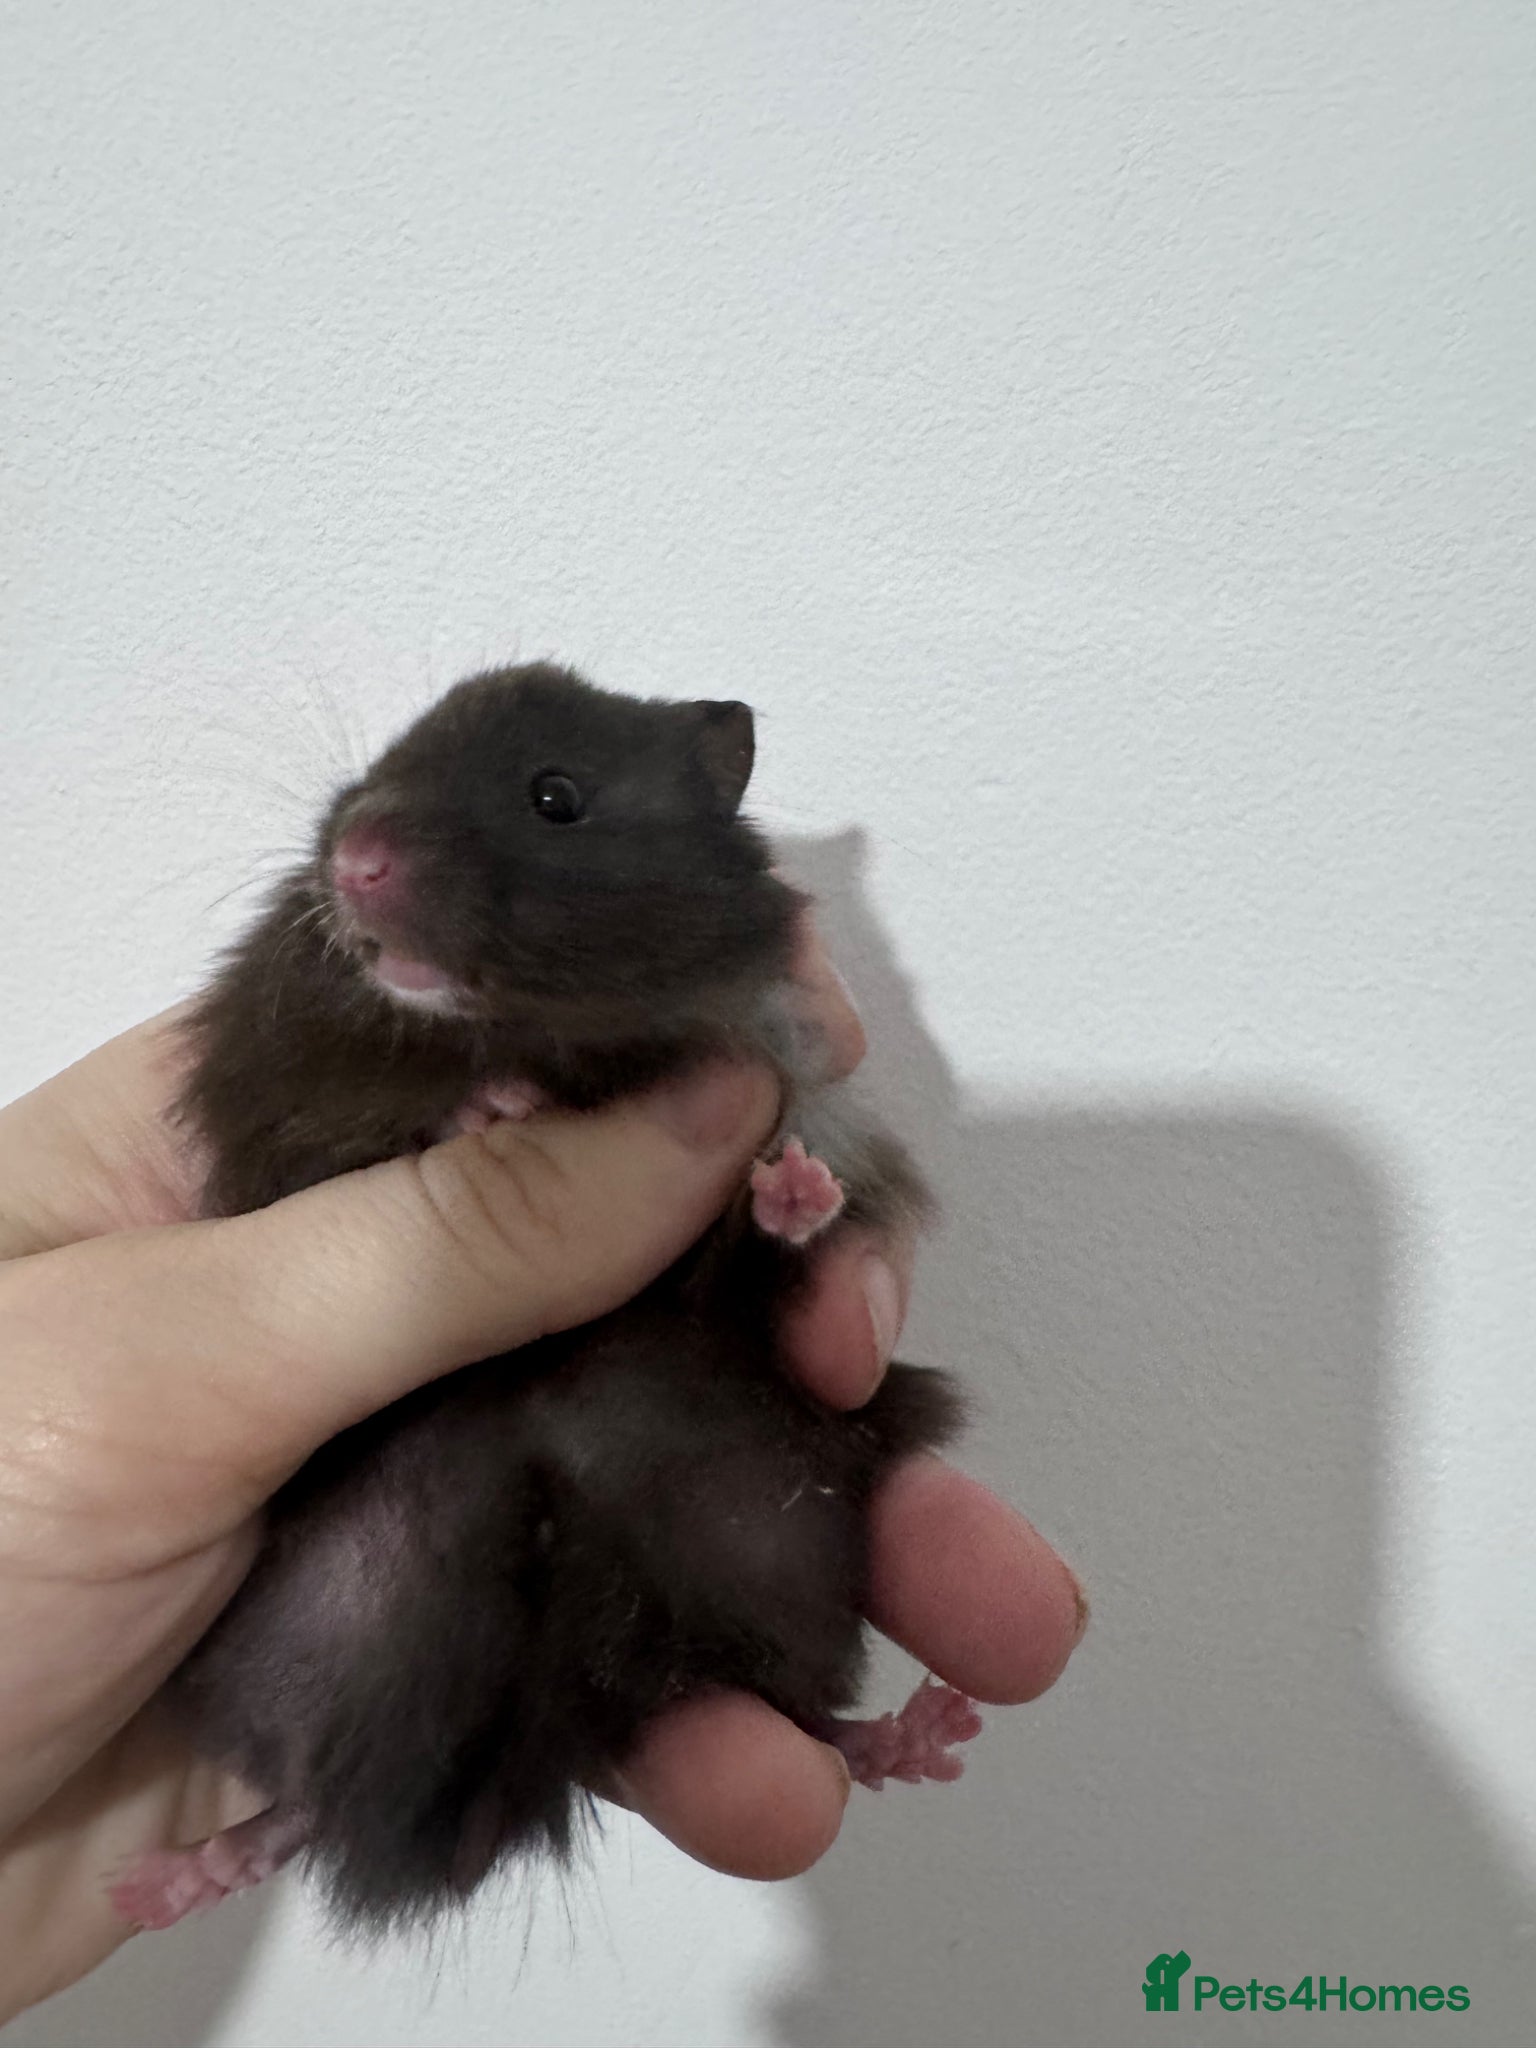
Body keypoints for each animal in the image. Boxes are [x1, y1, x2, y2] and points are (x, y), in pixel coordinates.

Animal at [110, 663, 978, 1938]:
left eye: (556, 796)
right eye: (389, 755)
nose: (357, 859)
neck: (523, 1029)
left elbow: (791, 1281)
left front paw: (794, 1186)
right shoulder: (274, 1113)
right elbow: (353, 1145)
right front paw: (493, 1112)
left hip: (774, 1556)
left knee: (807, 1712)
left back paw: (930, 1732)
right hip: (340, 1626)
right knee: (299, 1796)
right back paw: (163, 1878)